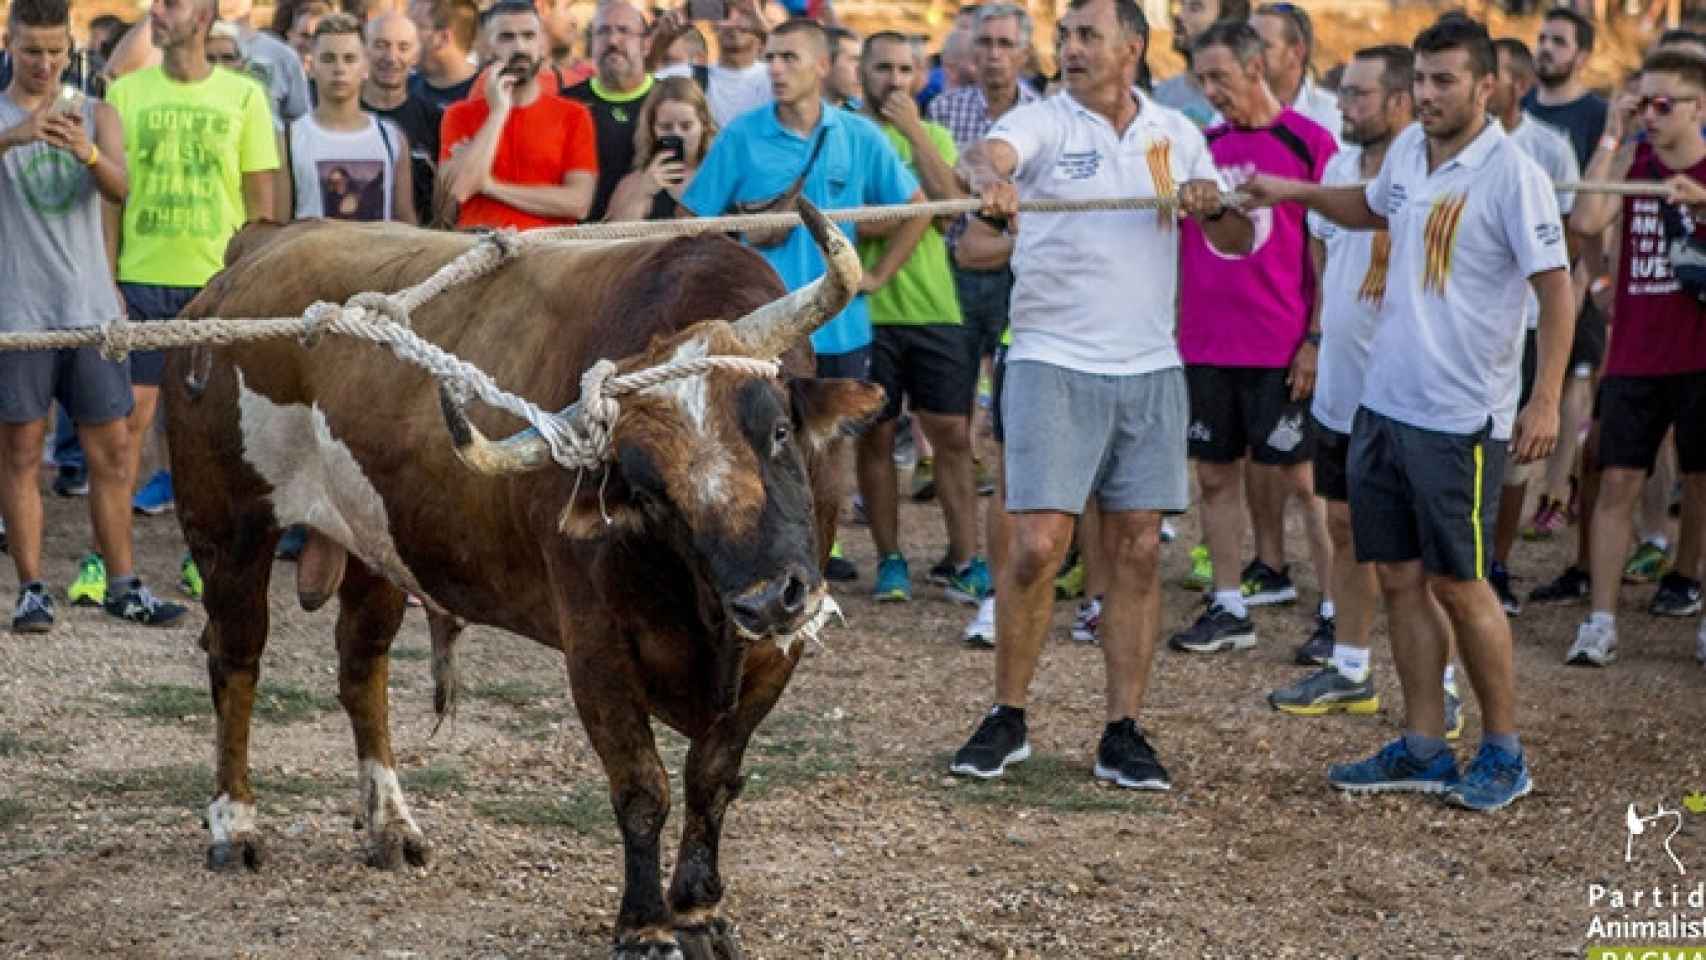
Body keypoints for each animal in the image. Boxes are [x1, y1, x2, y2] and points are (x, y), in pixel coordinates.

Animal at [162, 208, 880, 960]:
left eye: (778, 431)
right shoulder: (597, 651)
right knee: (237, 661)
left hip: (375, 543)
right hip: (229, 531)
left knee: (361, 666)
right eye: (648, 490)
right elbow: (642, 787)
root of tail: (253, 253)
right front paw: (645, 925)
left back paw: (390, 824)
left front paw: (697, 910)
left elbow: (710, 779)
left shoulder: (775, 656)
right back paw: (235, 824)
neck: (704, 606)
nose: (768, 599)